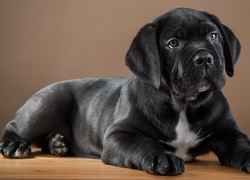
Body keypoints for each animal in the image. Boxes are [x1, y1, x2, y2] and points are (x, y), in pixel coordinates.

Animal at [0, 7, 250, 175]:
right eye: (173, 43)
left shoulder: (229, 133)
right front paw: (162, 157)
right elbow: (143, 142)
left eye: (213, 36)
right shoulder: (118, 135)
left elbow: (241, 144)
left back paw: (58, 144)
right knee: (15, 126)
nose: (204, 58)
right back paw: (16, 145)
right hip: (49, 103)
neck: (184, 105)